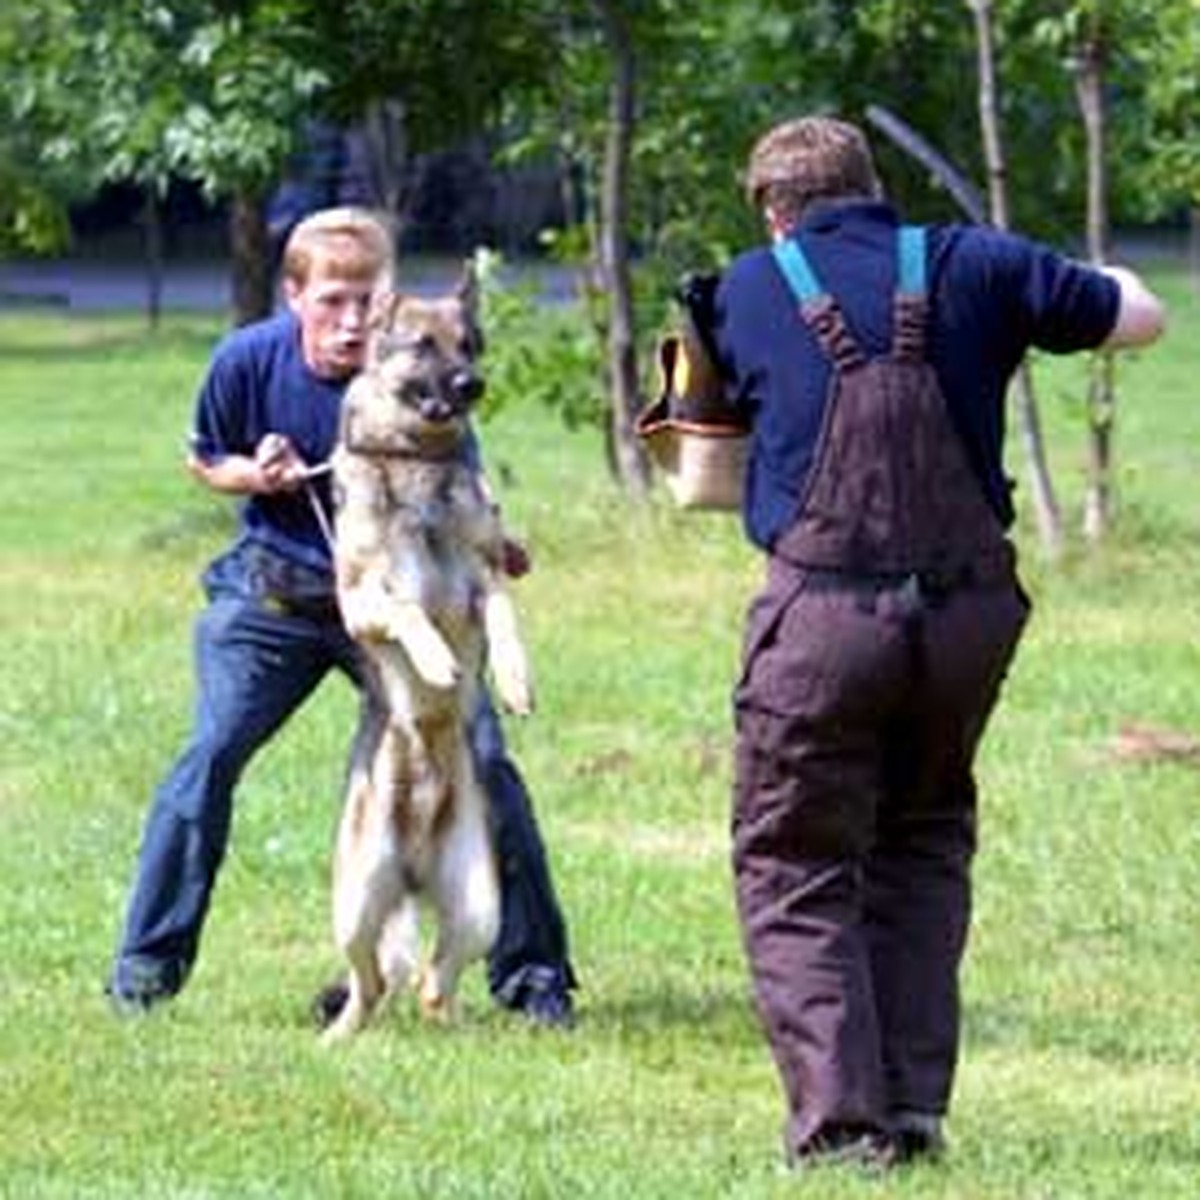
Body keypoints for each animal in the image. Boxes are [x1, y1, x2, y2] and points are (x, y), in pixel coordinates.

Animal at [326, 270, 537, 1041]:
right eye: (423, 344)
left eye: (470, 343)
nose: (473, 383)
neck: (417, 458)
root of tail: (413, 867)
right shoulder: (362, 599)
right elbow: (408, 608)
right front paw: (438, 661)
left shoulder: (488, 577)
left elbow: (505, 619)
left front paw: (514, 681)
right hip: (355, 908)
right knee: (372, 984)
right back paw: (337, 1037)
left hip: (481, 909)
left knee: (429, 981)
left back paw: (454, 1026)